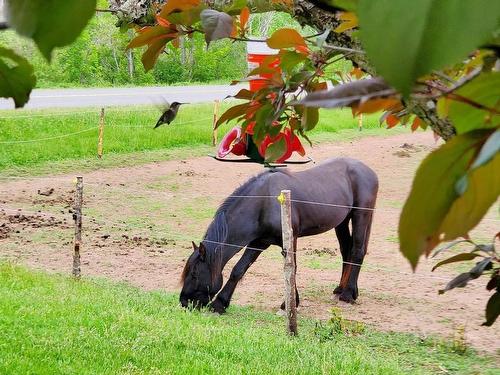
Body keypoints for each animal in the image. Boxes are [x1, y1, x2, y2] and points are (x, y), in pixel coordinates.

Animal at [181, 158, 378, 314]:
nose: (183, 302)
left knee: (357, 251)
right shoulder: (258, 242)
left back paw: (348, 294)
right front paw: (220, 303)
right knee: (346, 251)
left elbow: (292, 269)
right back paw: (340, 289)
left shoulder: (290, 240)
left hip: (361, 215)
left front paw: (289, 303)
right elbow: (238, 270)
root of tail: (368, 171)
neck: (264, 202)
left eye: (194, 274)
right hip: (342, 222)